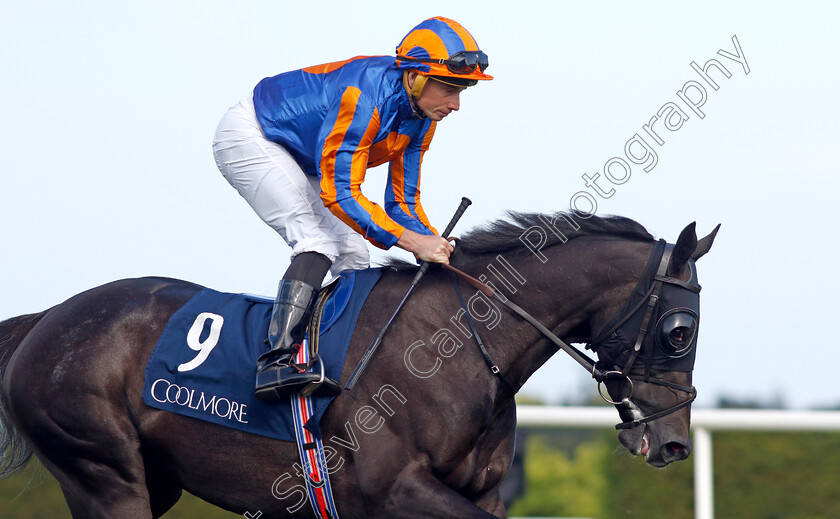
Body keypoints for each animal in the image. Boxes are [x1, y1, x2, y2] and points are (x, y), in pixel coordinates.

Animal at [3, 213, 720, 516]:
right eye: (680, 331)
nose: (674, 443)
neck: (458, 345)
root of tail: (45, 320)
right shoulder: (395, 487)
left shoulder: (482, 493)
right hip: (102, 471)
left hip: (152, 483)